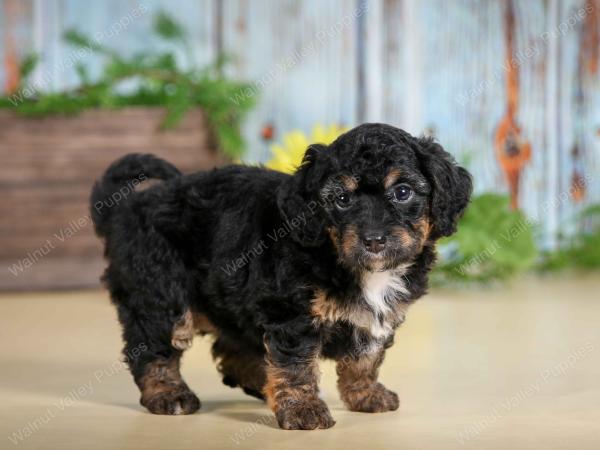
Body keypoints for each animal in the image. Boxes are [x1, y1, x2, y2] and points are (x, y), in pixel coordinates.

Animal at [91, 122, 472, 428]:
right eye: (342, 199)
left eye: (403, 192)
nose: (374, 239)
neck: (342, 258)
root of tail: (125, 209)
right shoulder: (291, 313)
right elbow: (296, 364)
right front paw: (303, 409)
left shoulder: (375, 318)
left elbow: (365, 357)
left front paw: (365, 394)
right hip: (158, 292)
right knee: (152, 348)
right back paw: (168, 393)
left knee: (234, 344)